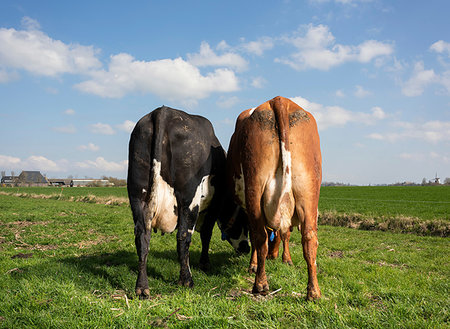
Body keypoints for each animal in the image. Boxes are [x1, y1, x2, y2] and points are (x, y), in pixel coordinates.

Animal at [127, 106, 250, 298]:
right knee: (183, 236)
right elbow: (206, 233)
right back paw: (186, 280)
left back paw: (142, 287)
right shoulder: (214, 205)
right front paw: (204, 263)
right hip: (188, 197)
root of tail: (162, 111)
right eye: (243, 223)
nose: (246, 249)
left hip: (137, 194)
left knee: (142, 236)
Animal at [227, 95, 322, 300]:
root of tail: (279, 100)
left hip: (254, 187)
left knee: (260, 236)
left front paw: (253, 265)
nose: (273, 256)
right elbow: (285, 233)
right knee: (309, 238)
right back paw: (313, 292)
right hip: (309, 192)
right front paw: (287, 259)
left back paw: (260, 285)